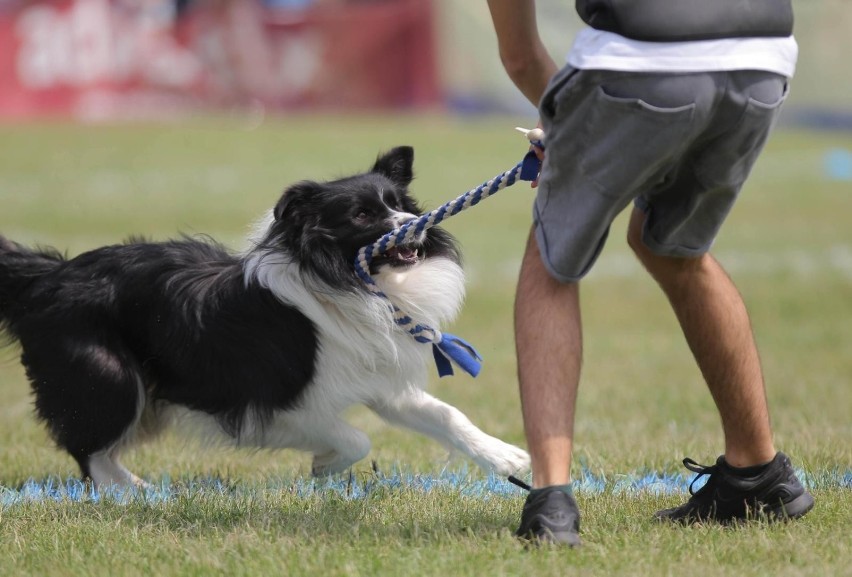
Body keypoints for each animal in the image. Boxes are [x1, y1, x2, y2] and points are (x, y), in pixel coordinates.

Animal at [0, 146, 528, 488]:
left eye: (399, 205)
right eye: (361, 215)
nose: (414, 226)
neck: (344, 282)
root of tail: (50, 275)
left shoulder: (378, 377)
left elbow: (444, 413)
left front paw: (505, 456)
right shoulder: (274, 403)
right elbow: (355, 436)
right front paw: (324, 464)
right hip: (109, 374)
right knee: (88, 449)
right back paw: (132, 494)